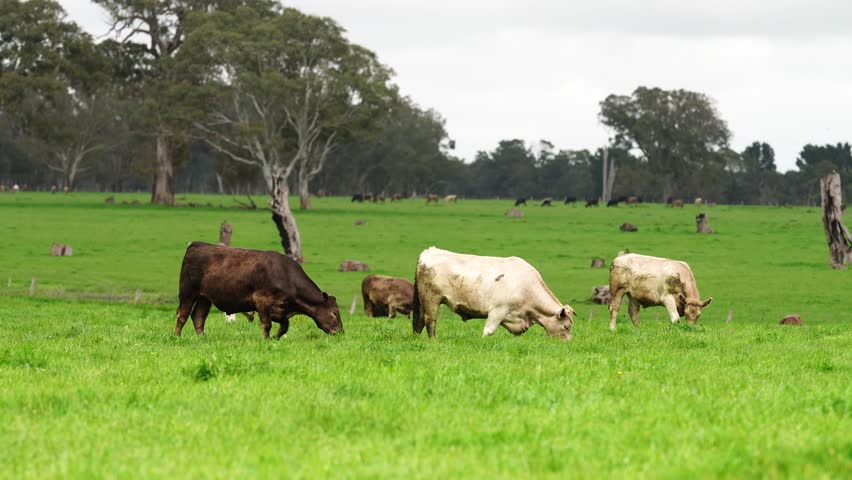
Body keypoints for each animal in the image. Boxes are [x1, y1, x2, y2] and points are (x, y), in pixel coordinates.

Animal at [175, 242, 343, 339]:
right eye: (334, 313)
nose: (341, 332)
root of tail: (197, 244)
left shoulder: (280, 310)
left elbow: (284, 327)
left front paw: (275, 338)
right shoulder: (262, 302)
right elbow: (267, 324)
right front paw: (266, 340)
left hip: (205, 298)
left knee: (198, 317)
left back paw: (202, 338)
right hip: (188, 292)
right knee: (182, 315)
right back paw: (176, 336)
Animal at [412, 247, 575, 340]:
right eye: (566, 326)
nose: (568, 343)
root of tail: (429, 251)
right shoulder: (498, 310)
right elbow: (488, 331)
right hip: (431, 298)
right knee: (430, 321)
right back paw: (433, 341)